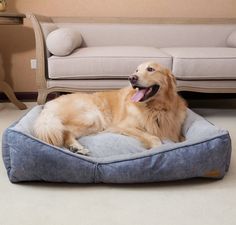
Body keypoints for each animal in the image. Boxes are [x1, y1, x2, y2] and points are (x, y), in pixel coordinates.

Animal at [34, 62, 187, 156]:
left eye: (150, 69)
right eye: (136, 70)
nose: (131, 78)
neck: (156, 109)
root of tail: (48, 106)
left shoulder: (176, 132)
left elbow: (182, 139)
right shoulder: (123, 126)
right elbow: (154, 137)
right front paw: (158, 148)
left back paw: (77, 148)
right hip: (92, 118)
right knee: (63, 131)